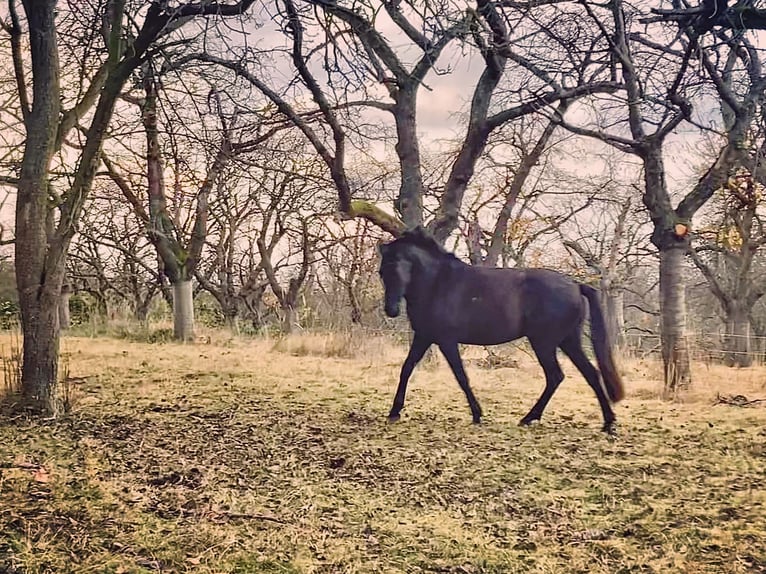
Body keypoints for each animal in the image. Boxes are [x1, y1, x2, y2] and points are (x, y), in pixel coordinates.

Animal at [378, 227, 624, 434]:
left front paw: (477, 414)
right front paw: (394, 412)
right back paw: (607, 422)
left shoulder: (447, 341)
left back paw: (531, 417)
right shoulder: (424, 336)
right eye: (382, 272)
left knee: (556, 376)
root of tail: (575, 285)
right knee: (589, 374)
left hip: (544, 343)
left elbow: (461, 376)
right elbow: (406, 368)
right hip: (568, 341)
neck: (437, 283)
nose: (391, 310)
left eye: (398, 268)